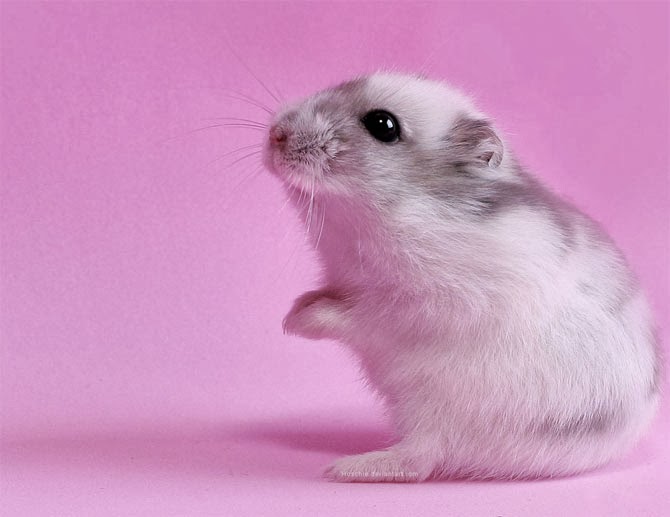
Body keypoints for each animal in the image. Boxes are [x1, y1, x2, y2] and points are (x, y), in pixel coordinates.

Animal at [262, 72, 661, 482]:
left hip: (439, 414)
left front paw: (295, 323)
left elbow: (359, 314)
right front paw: (292, 311)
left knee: (419, 460)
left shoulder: (425, 305)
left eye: (383, 125)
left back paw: (343, 468)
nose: (276, 134)